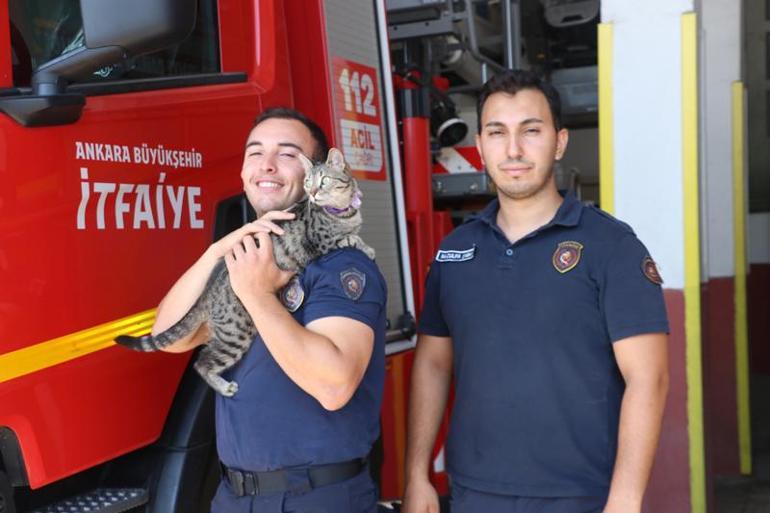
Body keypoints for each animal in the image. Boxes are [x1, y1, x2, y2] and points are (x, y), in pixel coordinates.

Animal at [115, 148, 376, 396]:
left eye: (324, 181)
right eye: (307, 182)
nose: (311, 194)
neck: (344, 211)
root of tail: (206, 293)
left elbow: (353, 233)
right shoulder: (320, 242)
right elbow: (348, 239)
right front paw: (367, 247)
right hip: (237, 331)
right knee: (203, 362)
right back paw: (224, 386)